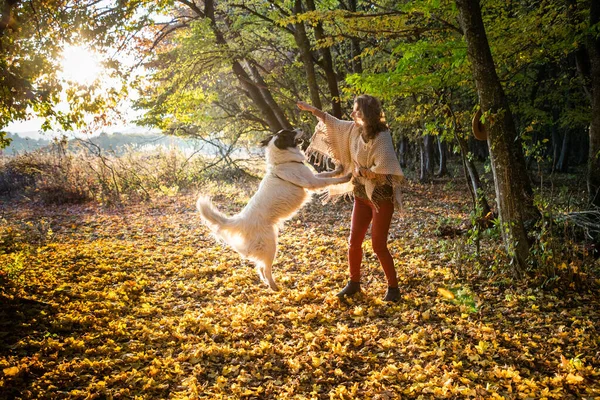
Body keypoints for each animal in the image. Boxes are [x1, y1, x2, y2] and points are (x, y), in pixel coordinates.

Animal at [197, 130, 350, 290]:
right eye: (290, 133)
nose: (300, 128)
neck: (284, 162)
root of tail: (241, 220)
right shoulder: (312, 182)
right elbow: (330, 180)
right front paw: (346, 177)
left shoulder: (313, 176)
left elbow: (327, 174)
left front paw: (339, 169)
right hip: (271, 246)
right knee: (266, 268)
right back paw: (274, 287)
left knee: (260, 267)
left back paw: (267, 283)